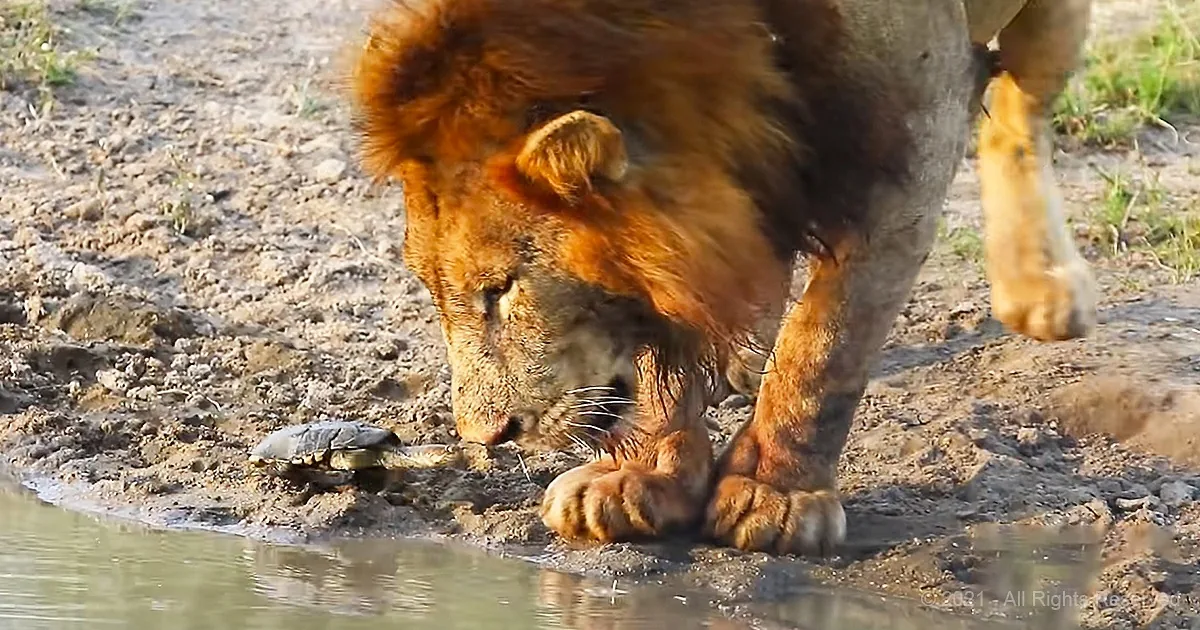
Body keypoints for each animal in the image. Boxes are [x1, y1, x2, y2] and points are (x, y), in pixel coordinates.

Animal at [348, 0, 1098, 556]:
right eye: (433, 293)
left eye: (501, 288)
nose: (485, 437)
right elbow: (664, 335)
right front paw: (640, 477)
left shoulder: (908, 145)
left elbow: (824, 347)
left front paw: (776, 493)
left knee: (1021, 112)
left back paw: (1044, 292)